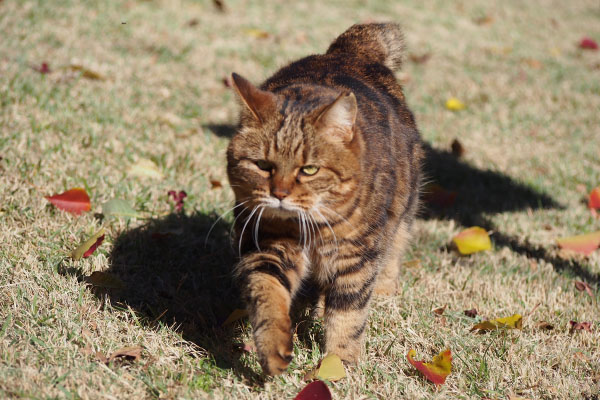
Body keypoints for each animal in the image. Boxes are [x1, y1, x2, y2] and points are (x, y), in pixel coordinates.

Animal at [225, 22, 422, 376]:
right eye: (263, 165)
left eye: (309, 169)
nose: (279, 194)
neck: (310, 228)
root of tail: (349, 50)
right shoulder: (268, 244)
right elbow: (267, 293)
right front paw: (274, 348)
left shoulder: (355, 259)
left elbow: (348, 315)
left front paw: (339, 365)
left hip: (404, 207)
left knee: (395, 247)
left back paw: (384, 291)